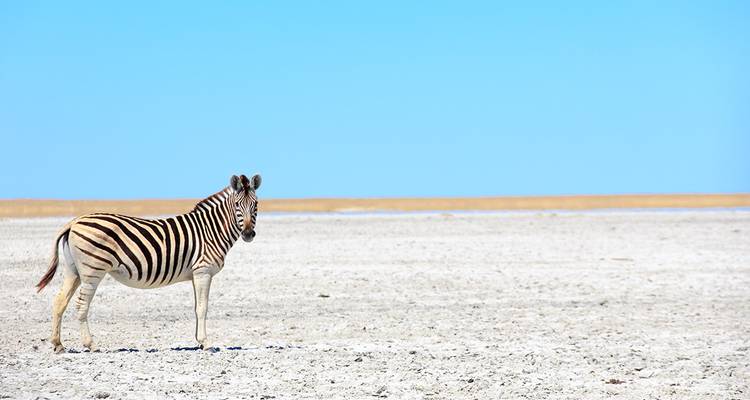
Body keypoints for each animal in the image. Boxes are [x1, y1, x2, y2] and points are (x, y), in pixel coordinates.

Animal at [36, 174, 261, 353]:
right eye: (237, 205)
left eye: (256, 205)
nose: (249, 234)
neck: (211, 230)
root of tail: (74, 221)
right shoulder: (203, 271)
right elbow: (202, 308)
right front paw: (206, 343)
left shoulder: (195, 275)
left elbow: (196, 307)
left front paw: (198, 341)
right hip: (93, 270)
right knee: (81, 304)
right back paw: (90, 344)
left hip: (73, 270)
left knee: (59, 301)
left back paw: (58, 344)